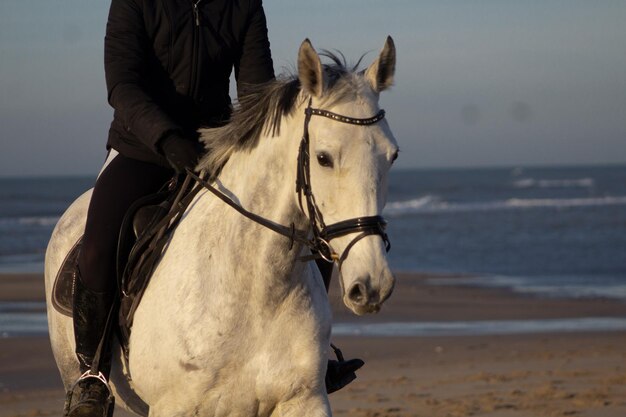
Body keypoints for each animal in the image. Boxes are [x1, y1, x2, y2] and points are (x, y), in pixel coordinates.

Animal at [44, 37, 398, 414]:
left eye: (392, 156)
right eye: (323, 158)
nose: (372, 285)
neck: (255, 292)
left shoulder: (305, 401)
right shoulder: (173, 407)